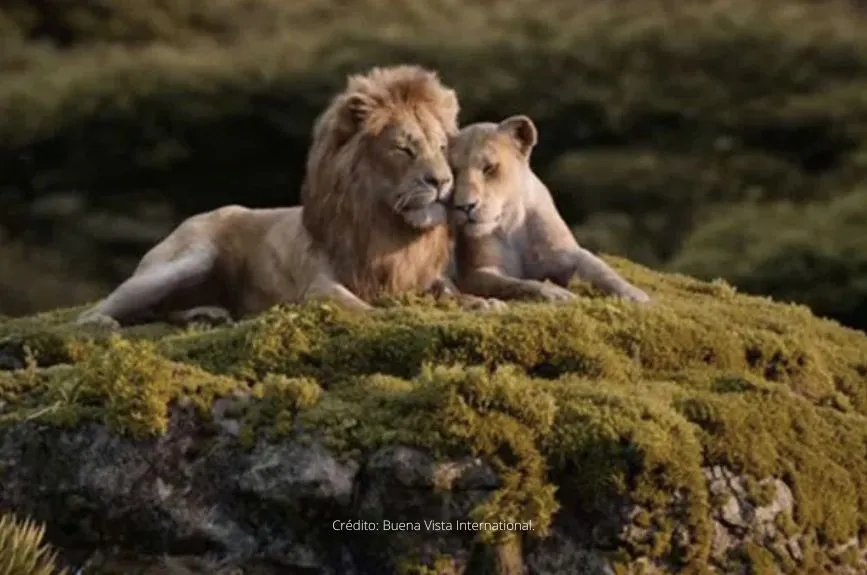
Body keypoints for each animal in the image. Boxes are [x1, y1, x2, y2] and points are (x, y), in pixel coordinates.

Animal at [76, 64, 500, 328]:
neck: (387, 227)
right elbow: (356, 305)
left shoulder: (422, 276)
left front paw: (482, 303)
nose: (442, 182)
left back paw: (206, 315)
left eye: (442, 147)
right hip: (188, 258)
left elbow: (451, 291)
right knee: (117, 304)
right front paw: (388, 315)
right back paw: (99, 322)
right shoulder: (317, 286)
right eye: (404, 149)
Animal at [446, 114, 651, 304]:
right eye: (453, 172)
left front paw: (635, 294)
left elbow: (597, 267)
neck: (511, 225)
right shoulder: (475, 273)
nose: (464, 206)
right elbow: (516, 283)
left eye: (488, 168)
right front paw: (557, 294)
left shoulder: (562, 253)